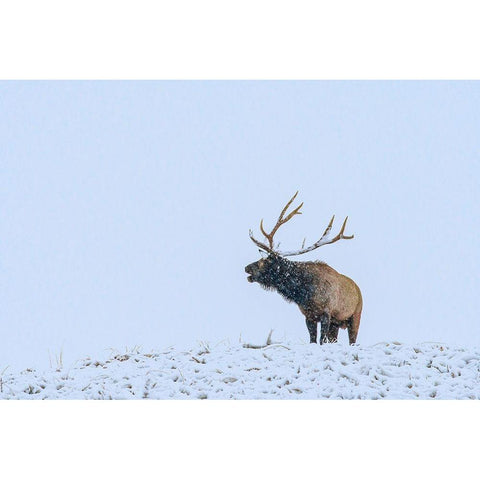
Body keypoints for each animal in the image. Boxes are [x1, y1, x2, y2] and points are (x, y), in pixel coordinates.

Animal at [246, 191, 362, 344]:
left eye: (266, 261)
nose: (247, 267)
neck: (304, 291)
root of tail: (358, 289)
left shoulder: (326, 312)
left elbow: (321, 340)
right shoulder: (308, 315)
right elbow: (312, 340)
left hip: (355, 317)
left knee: (352, 340)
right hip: (336, 324)